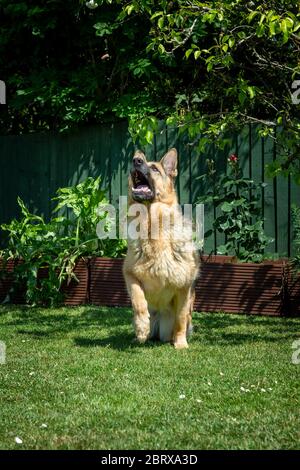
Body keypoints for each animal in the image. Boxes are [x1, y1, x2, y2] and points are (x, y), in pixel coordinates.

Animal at [122, 148, 199, 348]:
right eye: (138, 160)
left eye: (155, 168)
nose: (136, 160)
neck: (152, 225)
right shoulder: (129, 274)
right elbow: (138, 300)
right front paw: (141, 327)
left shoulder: (184, 288)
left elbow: (181, 318)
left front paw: (180, 344)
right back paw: (140, 335)